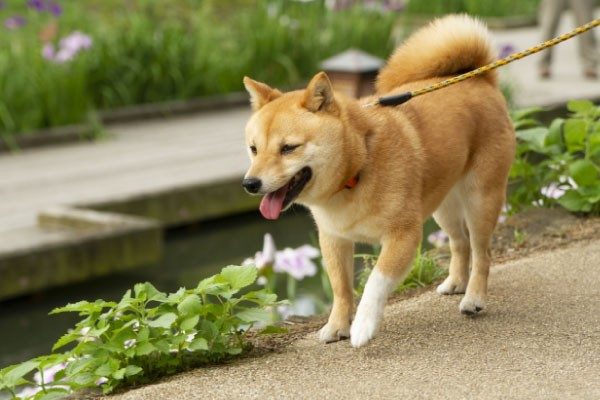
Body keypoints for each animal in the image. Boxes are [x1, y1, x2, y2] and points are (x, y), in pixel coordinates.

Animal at [241, 14, 512, 346]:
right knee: (459, 243)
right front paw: (337, 326)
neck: (359, 167)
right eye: (254, 149)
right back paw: (455, 283)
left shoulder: (403, 235)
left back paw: (473, 298)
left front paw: (362, 326)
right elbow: (341, 288)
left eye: (288, 148)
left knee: (482, 252)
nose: (250, 184)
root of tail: (478, 78)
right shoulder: (334, 239)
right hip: (444, 207)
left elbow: (375, 282)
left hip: (480, 200)